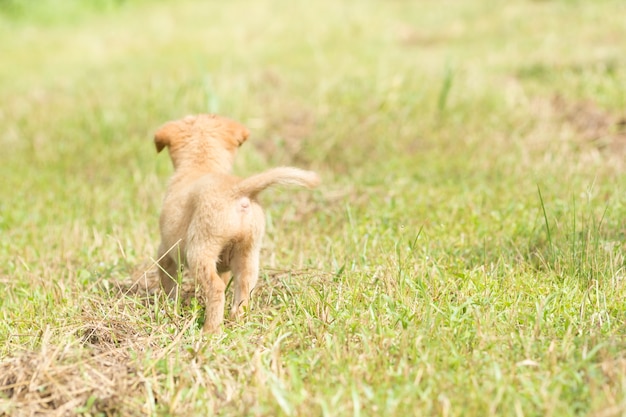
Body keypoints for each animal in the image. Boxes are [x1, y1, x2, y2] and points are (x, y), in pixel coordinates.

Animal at [154, 114, 320, 334]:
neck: (201, 164)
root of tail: (237, 190)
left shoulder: (165, 251)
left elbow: (169, 283)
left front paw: (168, 306)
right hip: (248, 256)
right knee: (243, 292)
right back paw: (237, 324)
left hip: (200, 252)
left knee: (216, 290)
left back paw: (210, 331)